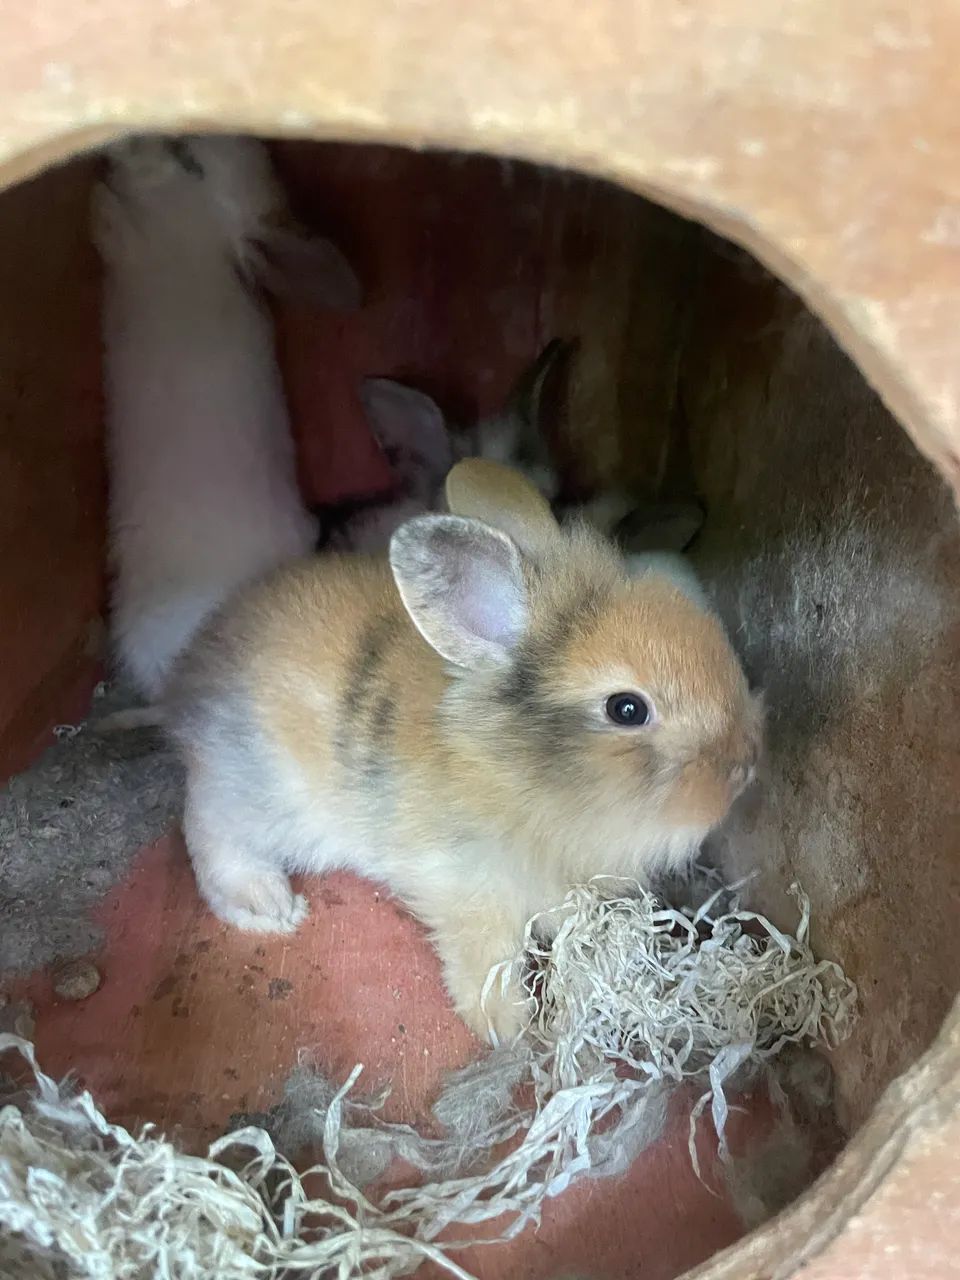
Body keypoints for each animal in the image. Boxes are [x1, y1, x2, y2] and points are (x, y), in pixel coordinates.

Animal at [162, 456, 762, 1044]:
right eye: (628, 709)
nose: (746, 764)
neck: (513, 770)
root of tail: (193, 667)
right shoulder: (466, 887)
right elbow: (487, 959)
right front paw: (503, 1026)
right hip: (255, 794)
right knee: (210, 833)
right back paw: (271, 906)